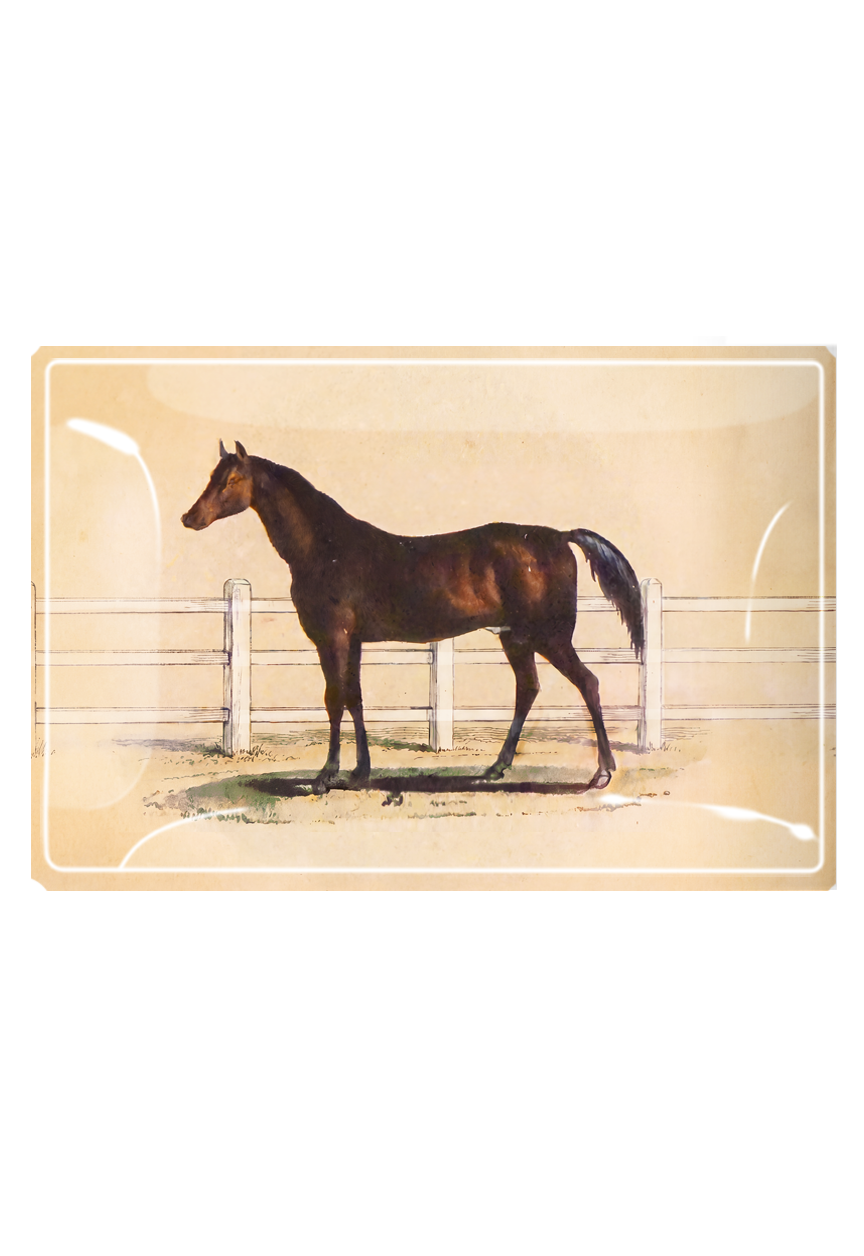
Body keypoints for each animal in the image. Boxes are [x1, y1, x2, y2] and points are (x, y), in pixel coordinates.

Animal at [182, 441, 644, 793]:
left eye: (231, 480)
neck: (326, 548)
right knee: (528, 690)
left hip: (550, 637)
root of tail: (560, 537)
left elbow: (334, 699)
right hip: (515, 638)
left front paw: (325, 776)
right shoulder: (353, 641)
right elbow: (355, 698)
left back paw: (602, 772)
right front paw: (359, 771)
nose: (190, 518)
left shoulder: (333, 638)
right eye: (211, 475)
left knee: (588, 683)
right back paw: (495, 768)